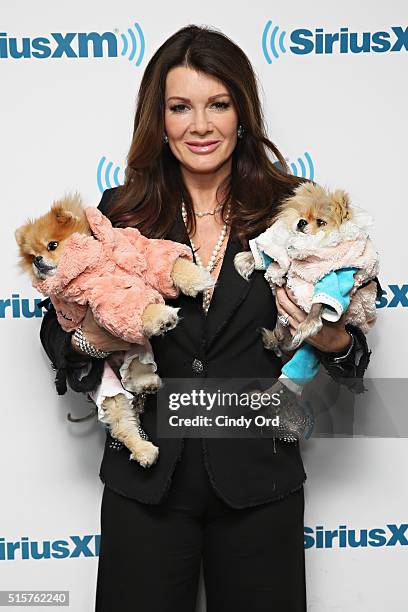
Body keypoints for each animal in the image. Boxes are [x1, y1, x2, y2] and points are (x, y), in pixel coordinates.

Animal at [14, 194, 215, 466]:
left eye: (52, 246)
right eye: (31, 255)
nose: (36, 261)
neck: (98, 257)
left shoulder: (136, 248)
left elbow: (164, 261)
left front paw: (196, 278)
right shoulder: (102, 292)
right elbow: (132, 303)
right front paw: (160, 315)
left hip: (137, 348)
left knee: (135, 365)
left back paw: (145, 381)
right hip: (106, 386)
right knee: (122, 423)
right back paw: (143, 450)